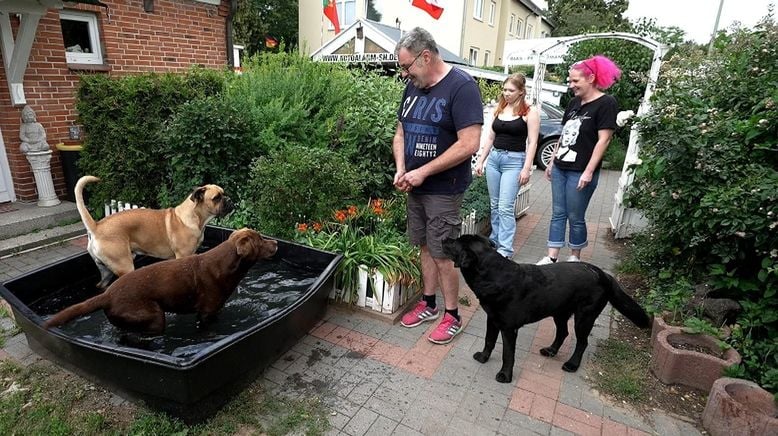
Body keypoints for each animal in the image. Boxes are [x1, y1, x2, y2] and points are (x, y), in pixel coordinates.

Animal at [44, 228, 278, 334]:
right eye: (260, 240)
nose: (276, 242)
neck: (224, 265)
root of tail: (107, 294)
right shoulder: (205, 313)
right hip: (154, 316)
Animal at [75, 175, 233, 288]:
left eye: (224, 193)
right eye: (216, 198)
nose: (230, 200)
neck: (195, 217)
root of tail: (96, 226)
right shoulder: (183, 256)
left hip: (106, 271)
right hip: (124, 265)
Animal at [442, 235, 648, 382]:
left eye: (456, 242)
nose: (444, 239)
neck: (494, 276)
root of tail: (604, 274)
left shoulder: (509, 328)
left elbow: (508, 354)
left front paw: (505, 375)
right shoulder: (492, 319)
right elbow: (489, 341)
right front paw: (484, 357)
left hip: (584, 317)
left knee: (582, 342)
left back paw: (572, 364)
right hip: (560, 312)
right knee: (563, 333)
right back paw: (551, 351)